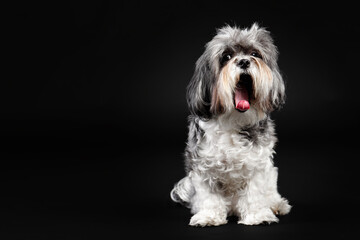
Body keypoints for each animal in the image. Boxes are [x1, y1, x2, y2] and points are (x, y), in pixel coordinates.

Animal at [170, 23, 292, 227]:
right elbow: (210, 195)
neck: (233, 121)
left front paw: (257, 216)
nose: (243, 62)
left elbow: (254, 192)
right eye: (226, 56)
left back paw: (277, 205)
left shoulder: (258, 166)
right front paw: (209, 216)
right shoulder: (203, 166)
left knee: (270, 192)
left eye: (255, 53)